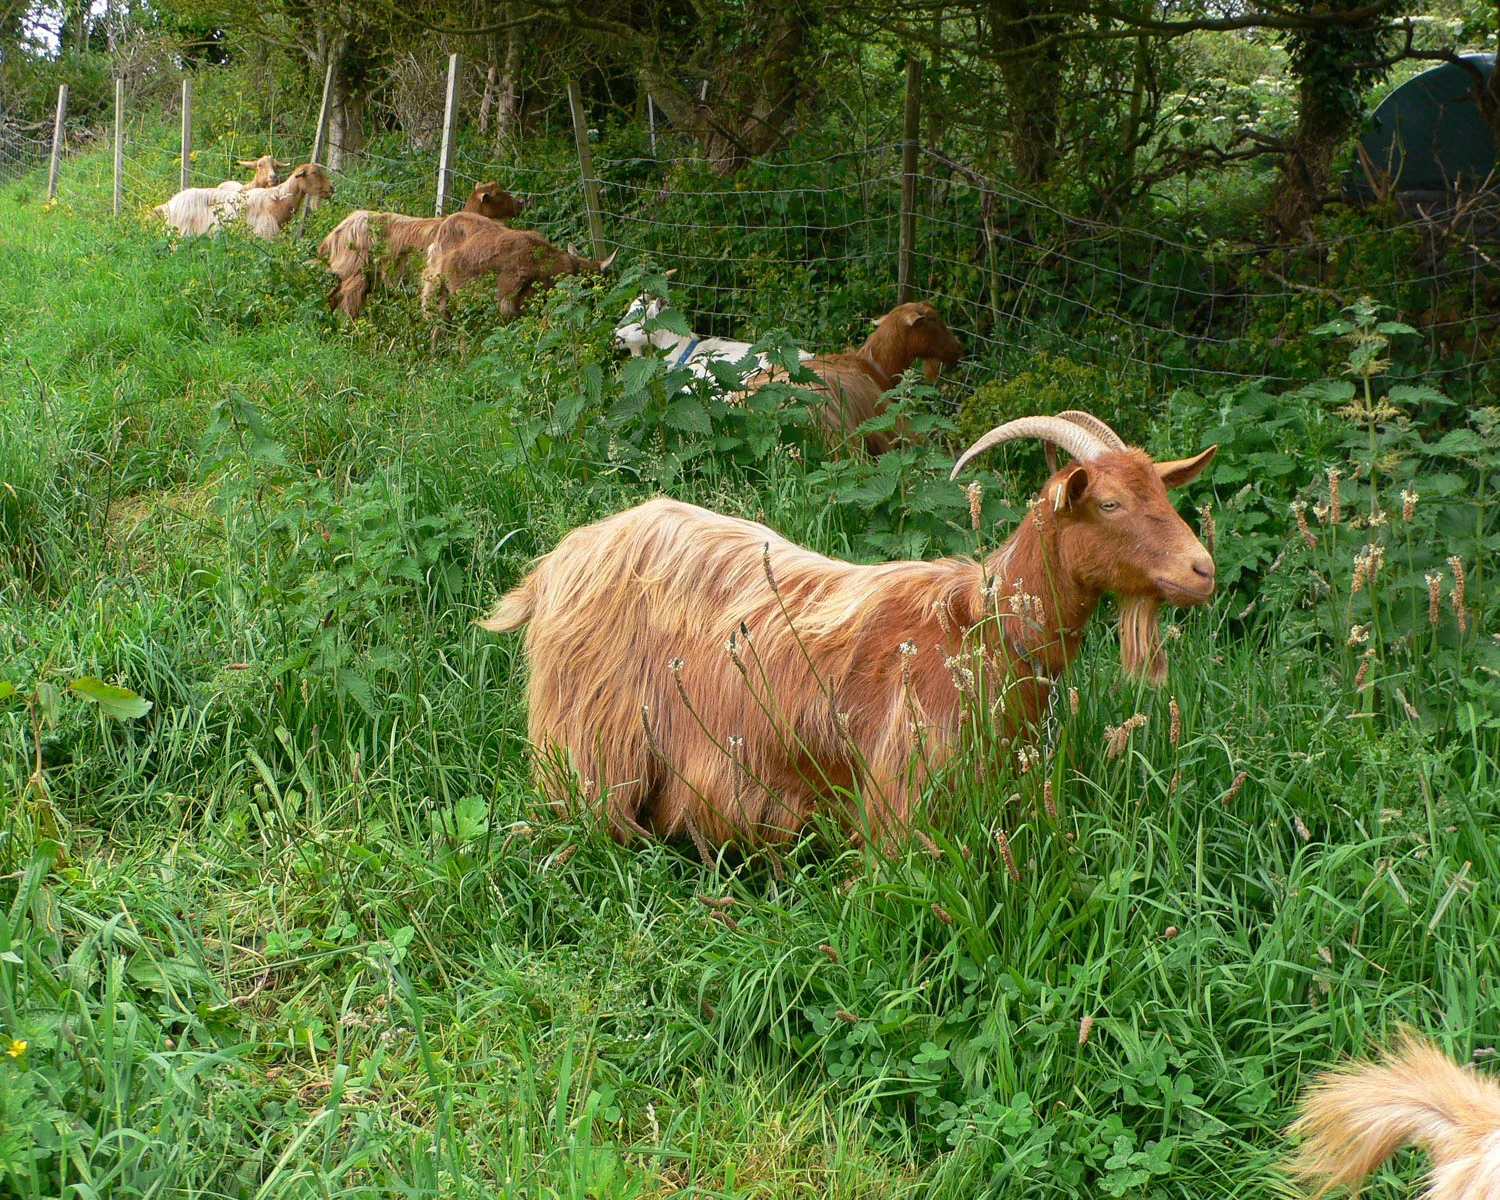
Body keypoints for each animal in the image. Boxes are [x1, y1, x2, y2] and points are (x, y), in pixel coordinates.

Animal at [154, 162, 334, 240]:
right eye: (314, 173)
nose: (332, 188)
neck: (279, 200)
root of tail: (170, 204)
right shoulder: (264, 234)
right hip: (179, 234)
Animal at [316, 181, 528, 321]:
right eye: (499, 193)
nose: (521, 202)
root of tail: (336, 231)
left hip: (346, 272)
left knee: (332, 296)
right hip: (355, 271)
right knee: (347, 301)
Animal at [483, 414, 1218, 852]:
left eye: (1165, 493)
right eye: (1110, 503)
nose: (1202, 569)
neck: (973, 628)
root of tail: (558, 562)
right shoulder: (903, 787)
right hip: (591, 736)